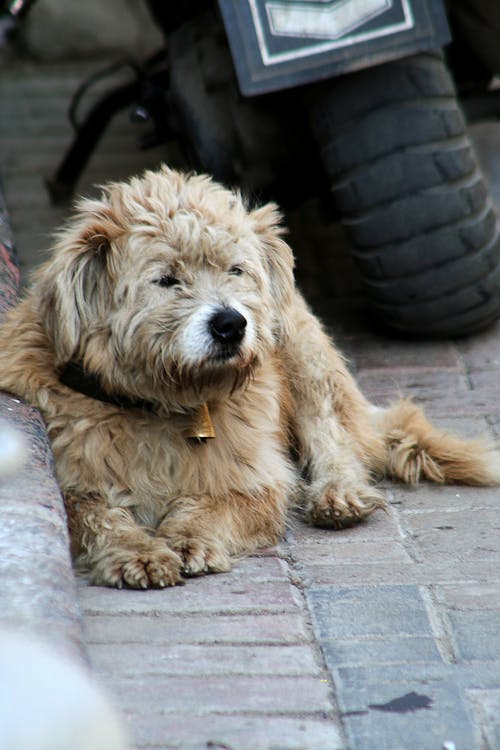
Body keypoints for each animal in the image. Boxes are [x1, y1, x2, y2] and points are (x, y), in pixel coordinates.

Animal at [0, 167, 500, 592]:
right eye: (166, 280)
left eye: (234, 270)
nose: (231, 324)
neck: (161, 403)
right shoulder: (73, 484)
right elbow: (93, 517)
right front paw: (135, 551)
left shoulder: (256, 480)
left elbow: (216, 505)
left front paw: (189, 537)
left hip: (302, 351)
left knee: (336, 437)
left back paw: (338, 493)